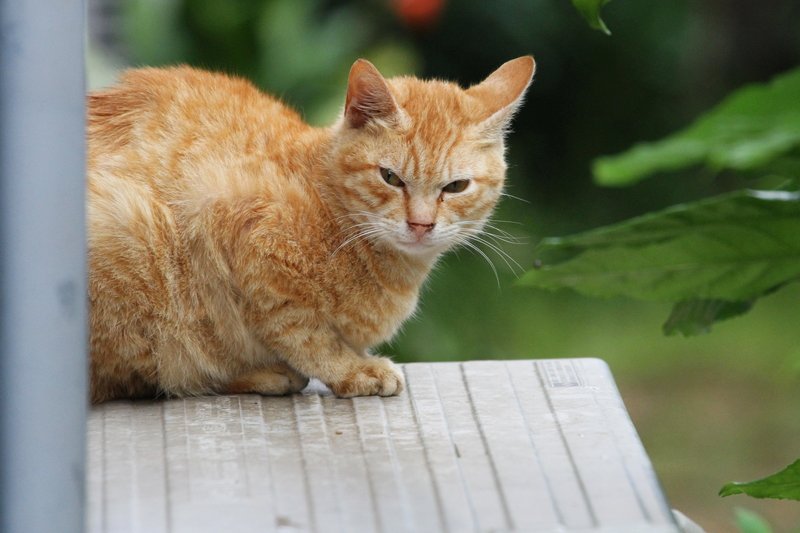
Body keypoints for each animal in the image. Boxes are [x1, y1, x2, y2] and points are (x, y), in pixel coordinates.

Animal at [87, 56, 536, 402]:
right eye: (390, 178)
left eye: (456, 186)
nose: (421, 224)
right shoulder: (239, 233)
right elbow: (303, 333)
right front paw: (352, 370)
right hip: (132, 233)